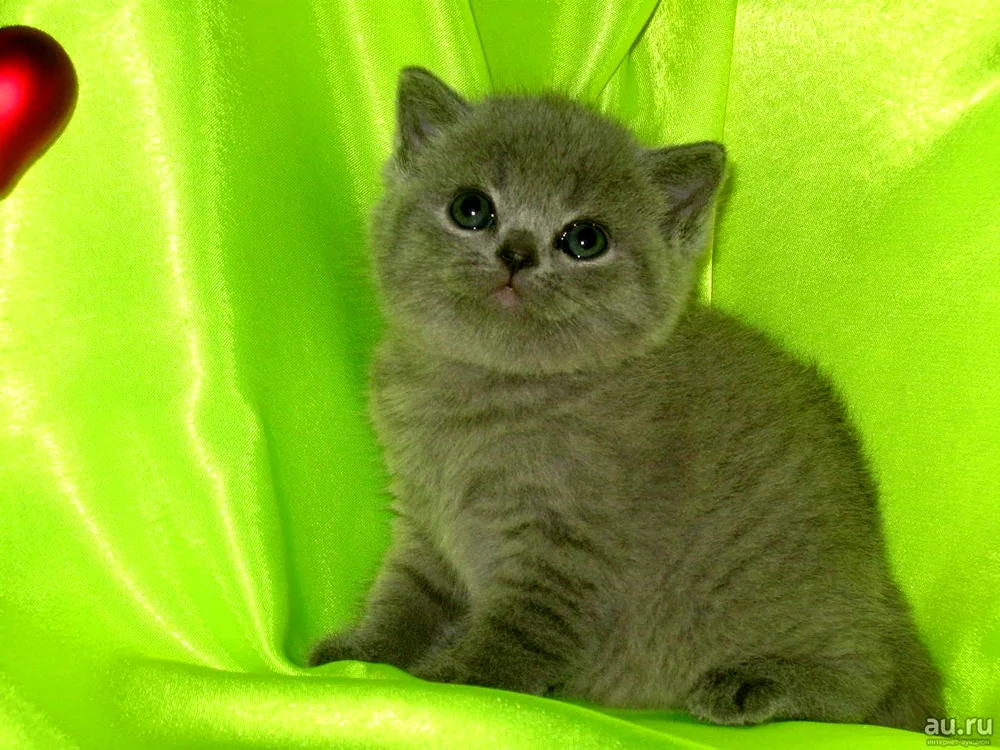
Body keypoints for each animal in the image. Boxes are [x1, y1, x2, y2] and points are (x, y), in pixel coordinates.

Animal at [308, 67, 940, 732]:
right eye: (471, 209)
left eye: (585, 240)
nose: (516, 253)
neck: (482, 394)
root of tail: (886, 590)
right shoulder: (424, 521)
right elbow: (405, 597)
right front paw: (362, 654)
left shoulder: (574, 547)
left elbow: (518, 632)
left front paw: (457, 678)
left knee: (868, 680)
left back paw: (756, 683)